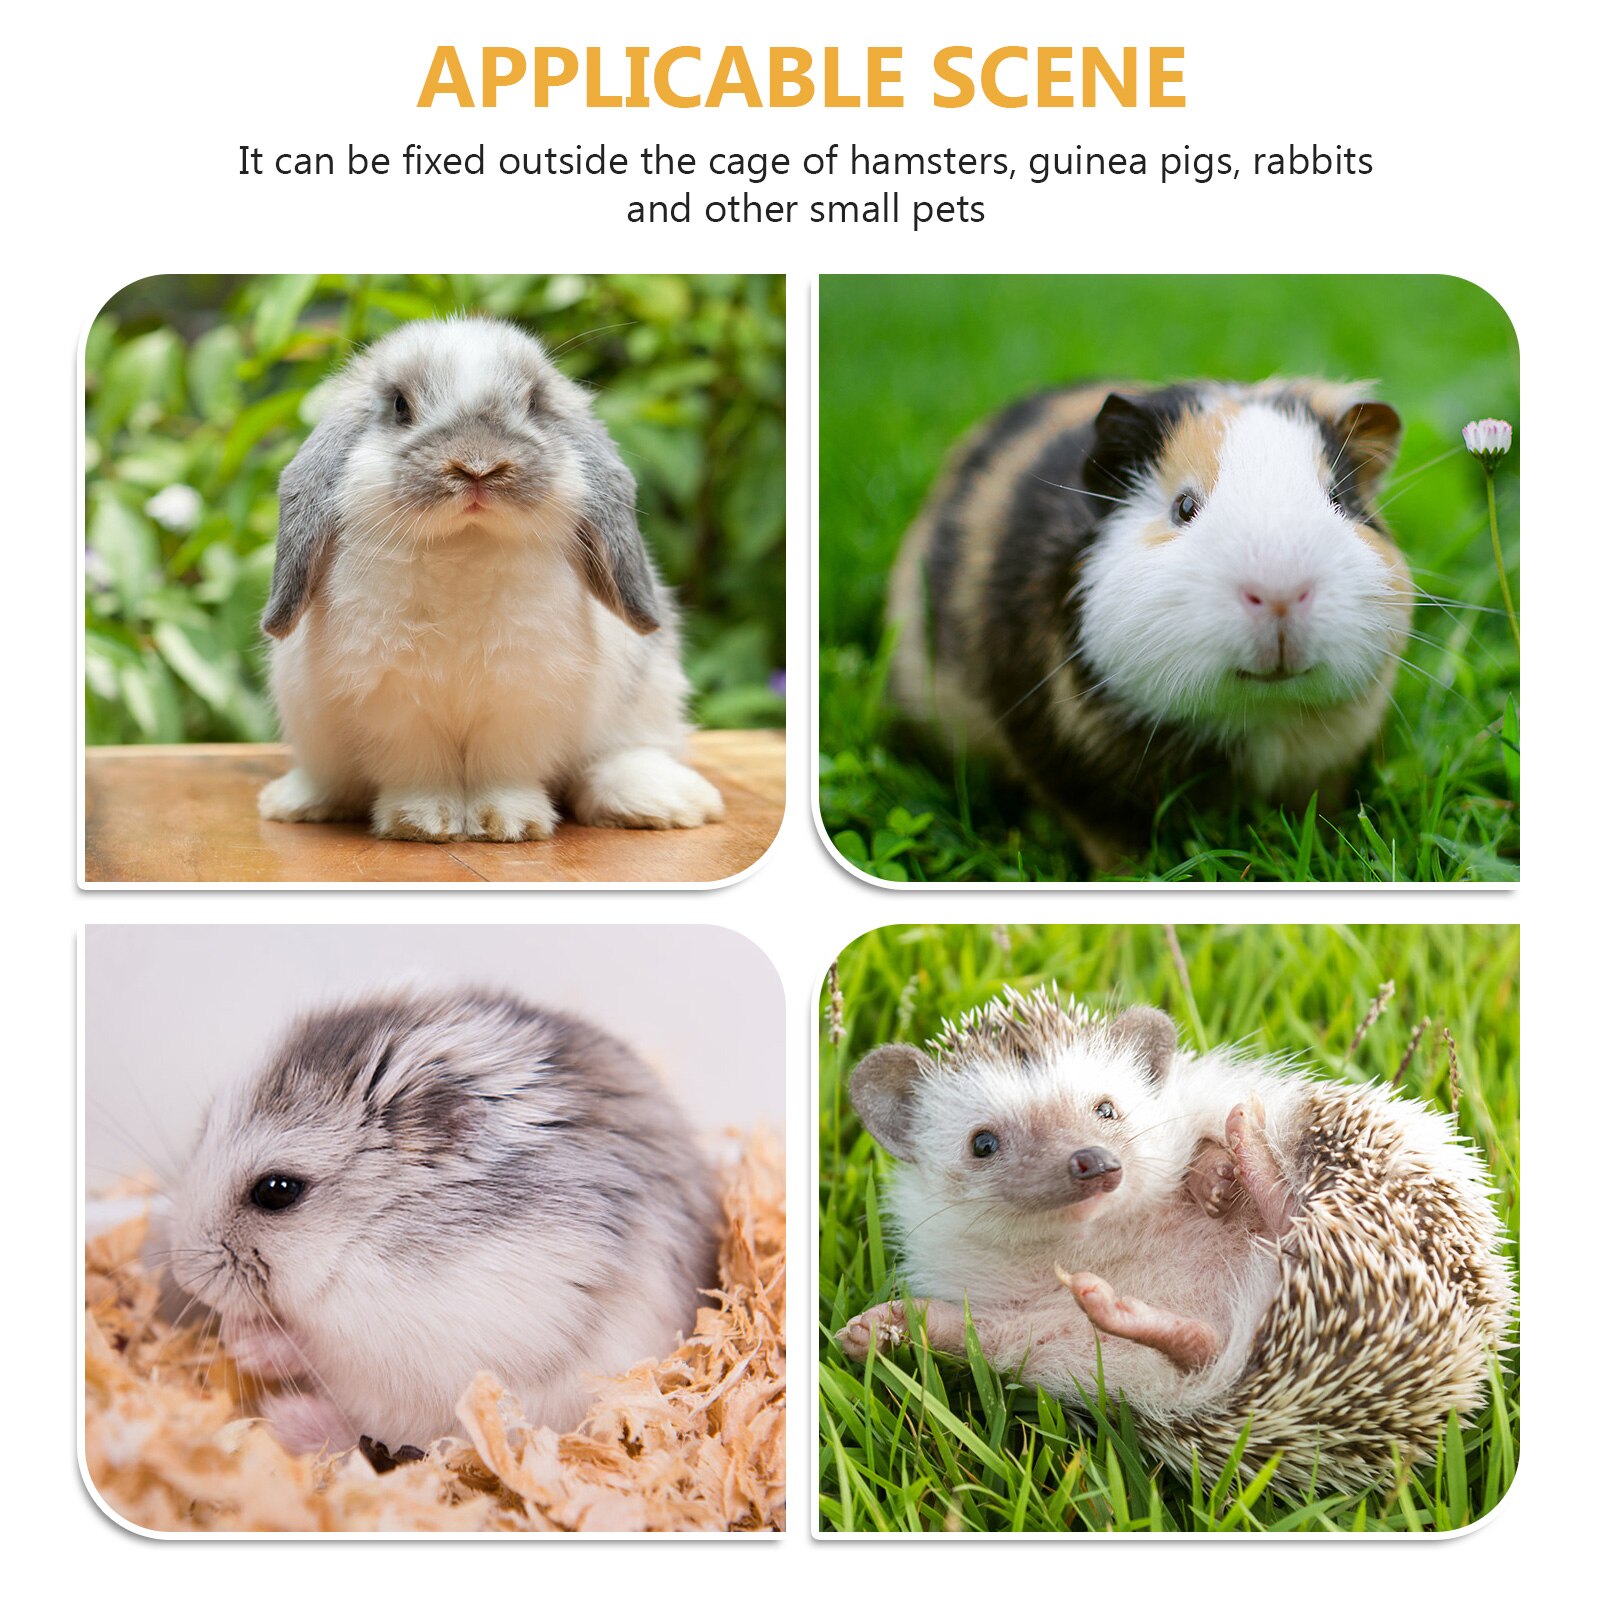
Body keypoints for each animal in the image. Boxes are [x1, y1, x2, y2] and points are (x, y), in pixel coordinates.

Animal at [169, 989, 719, 1455]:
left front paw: (242, 1339)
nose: (183, 1278)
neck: (364, 1234)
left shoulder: (421, 1332)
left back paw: (289, 1418)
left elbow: (313, 1343)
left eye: (277, 1191)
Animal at [257, 317, 724, 843]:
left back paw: (662, 802)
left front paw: (508, 823)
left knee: (622, 756)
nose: (478, 465)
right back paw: (298, 801)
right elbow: (419, 769)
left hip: (647, 699)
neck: (465, 546)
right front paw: (423, 822)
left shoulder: (523, 698)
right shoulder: (395, 704)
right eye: (400, 406)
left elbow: (504, 768)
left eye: (535, 403)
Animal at [888, 379, 1414, 869]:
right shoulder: (1078, 776)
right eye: (1184, 507)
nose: (1281, 593)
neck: (1258, 715)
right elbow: (1110, 838)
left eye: (1339, 498)